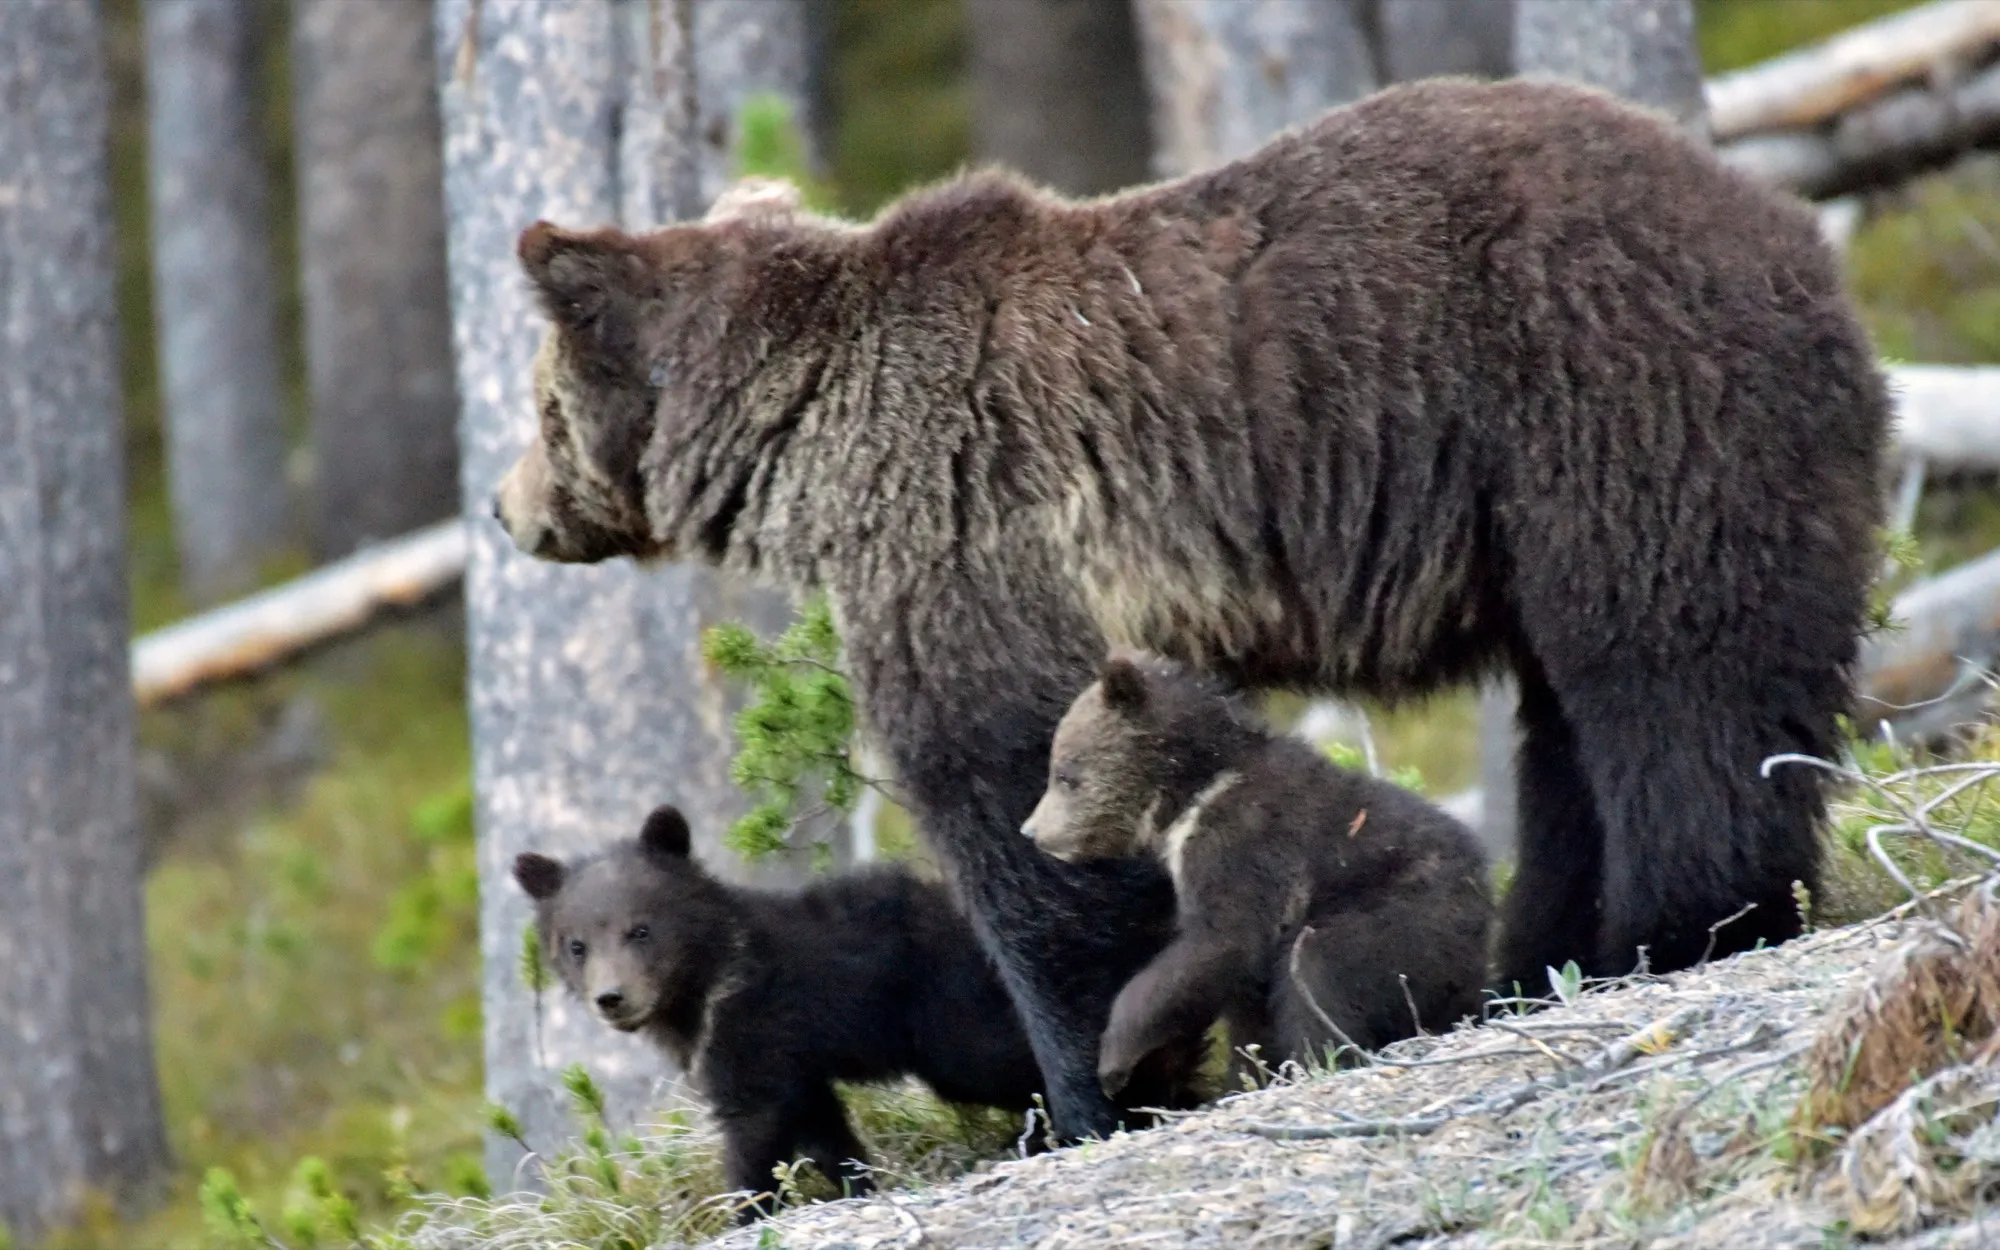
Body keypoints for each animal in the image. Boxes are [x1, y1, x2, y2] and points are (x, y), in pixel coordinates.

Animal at [512, 804, 1049, 1217]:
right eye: (576, 944)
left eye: (640, 929)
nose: (611, 997)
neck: (702, 990)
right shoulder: (793, 1060)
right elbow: (822, 1127)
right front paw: (859, 1180)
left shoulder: (751, 1027)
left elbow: (754, 1126)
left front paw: (749, 1209)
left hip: (947, 1008)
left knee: (993, 1055)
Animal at [1021, 650, 1492, 1096]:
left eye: (1064, 775)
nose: (1032, 832)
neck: (1193, 789)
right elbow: (1244, 1004)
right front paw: (1245, 1075)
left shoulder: (1246, 843)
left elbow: (1222, 941)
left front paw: (1114, 1059)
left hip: (1401, 910)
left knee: (1321, 969)